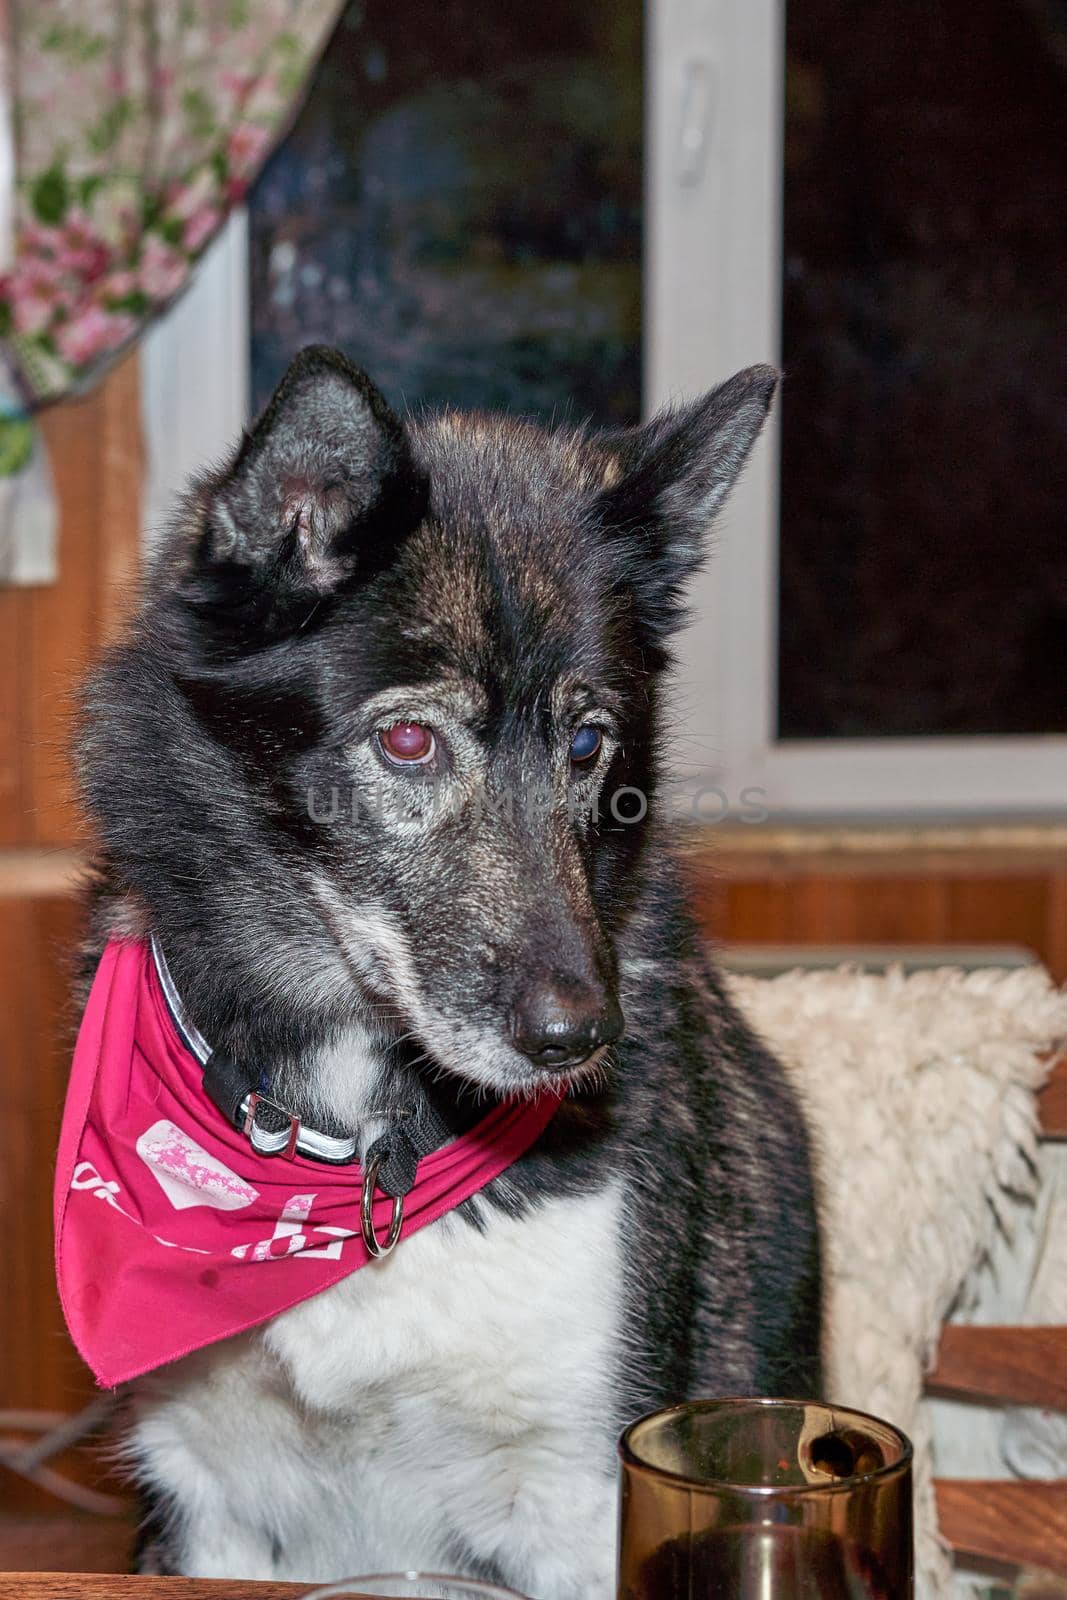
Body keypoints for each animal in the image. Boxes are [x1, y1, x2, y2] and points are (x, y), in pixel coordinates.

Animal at [75, 344, 825, 1593]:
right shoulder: (205, 1498)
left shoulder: (580, 1500)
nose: (580, 1039)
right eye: (409, 740)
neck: (356, 1138)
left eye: (588, 743)